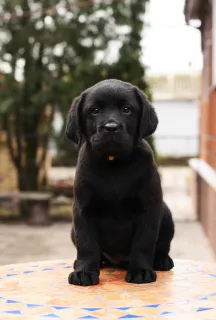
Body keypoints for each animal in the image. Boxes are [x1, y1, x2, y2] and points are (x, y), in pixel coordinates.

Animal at [65, 79, 174, 286]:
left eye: (127, 109)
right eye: (94, 110)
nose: (111, 127)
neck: (114, 163)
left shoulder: (148, 208)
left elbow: (143, 242)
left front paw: (140, 271)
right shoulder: (83, 209)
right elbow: (87, 244)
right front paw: (84, 271)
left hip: (166, 215)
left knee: (162, 245)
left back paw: (161, 260)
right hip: (73, 230)